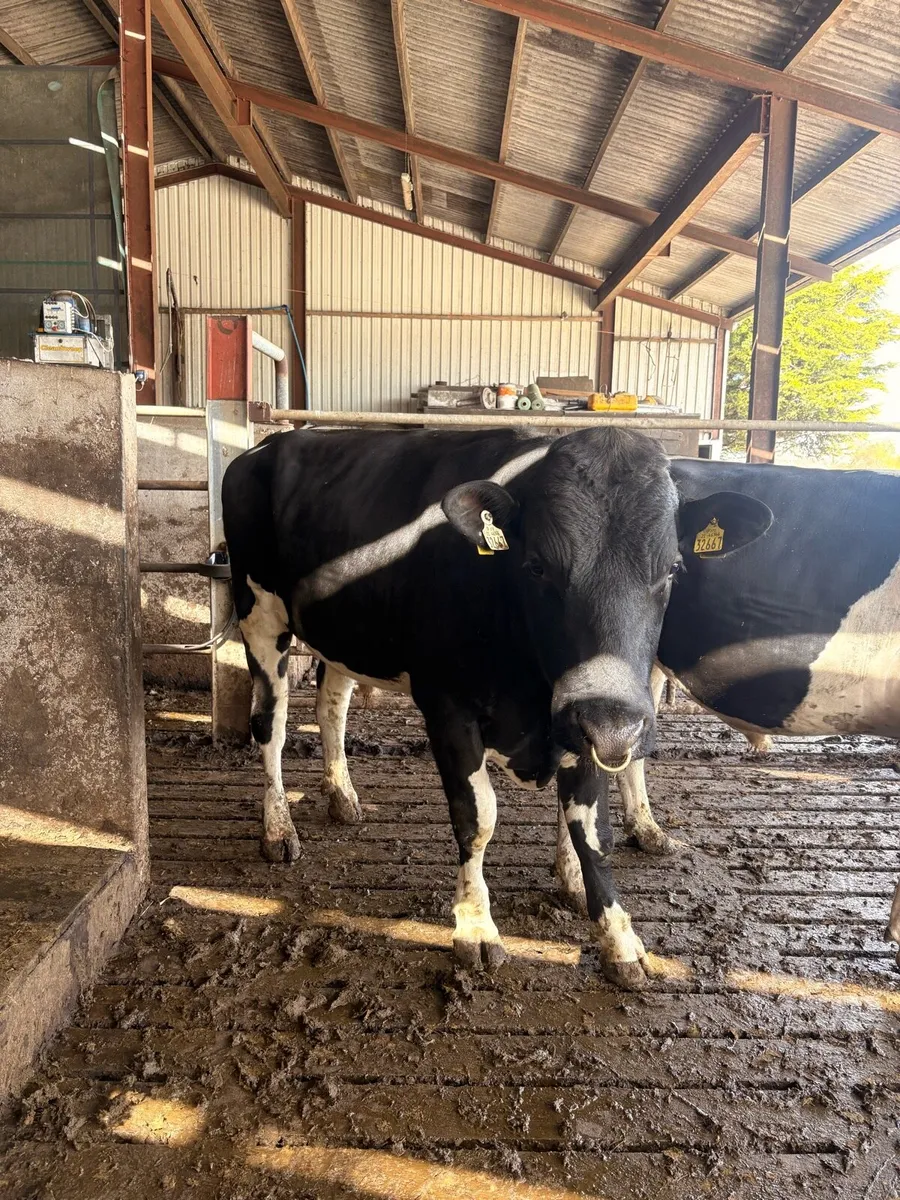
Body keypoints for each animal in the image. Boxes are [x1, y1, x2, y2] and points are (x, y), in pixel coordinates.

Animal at [222, 427, 768, 988]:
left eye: (674, 569)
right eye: (537, 565)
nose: (615, 726)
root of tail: (271, 442)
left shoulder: (584, 724)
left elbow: (592, 831)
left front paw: (616, 936)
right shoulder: (449, 710)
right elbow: (477, 818)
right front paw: (476, 928)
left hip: (344, 633)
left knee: (332, 704)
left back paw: (343, 797)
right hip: (259, 613)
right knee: (270, 724)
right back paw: (278, 827)